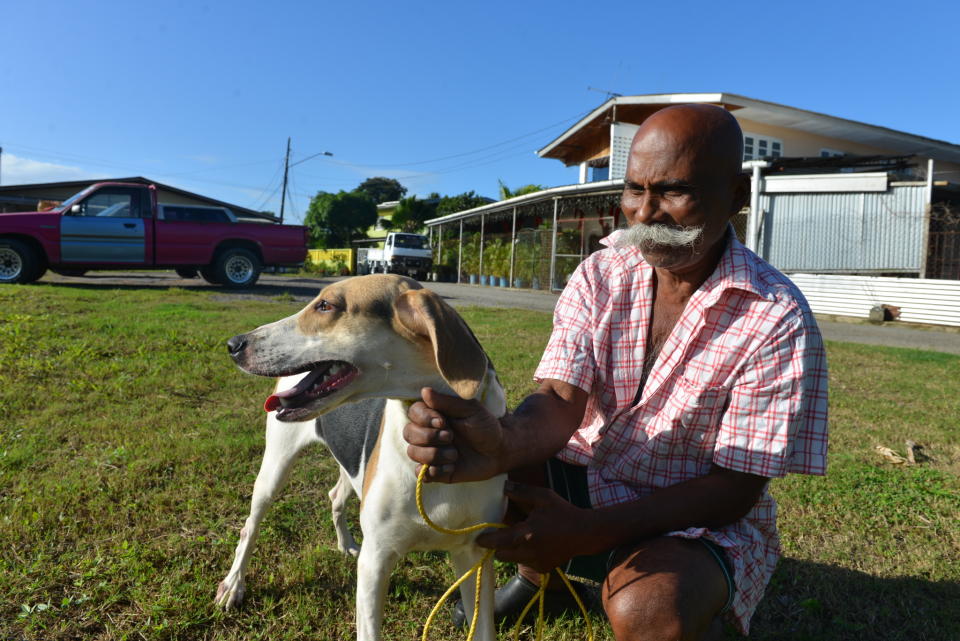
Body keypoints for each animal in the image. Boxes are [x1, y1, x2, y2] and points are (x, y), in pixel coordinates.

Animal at [216, 274, 502, 640]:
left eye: (326, 305)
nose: (233, 344)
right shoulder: (375, 560)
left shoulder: (474, 556)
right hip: (274, 469)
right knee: (249, 528)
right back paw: (233, 584)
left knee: (335, 495)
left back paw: (345, 543)